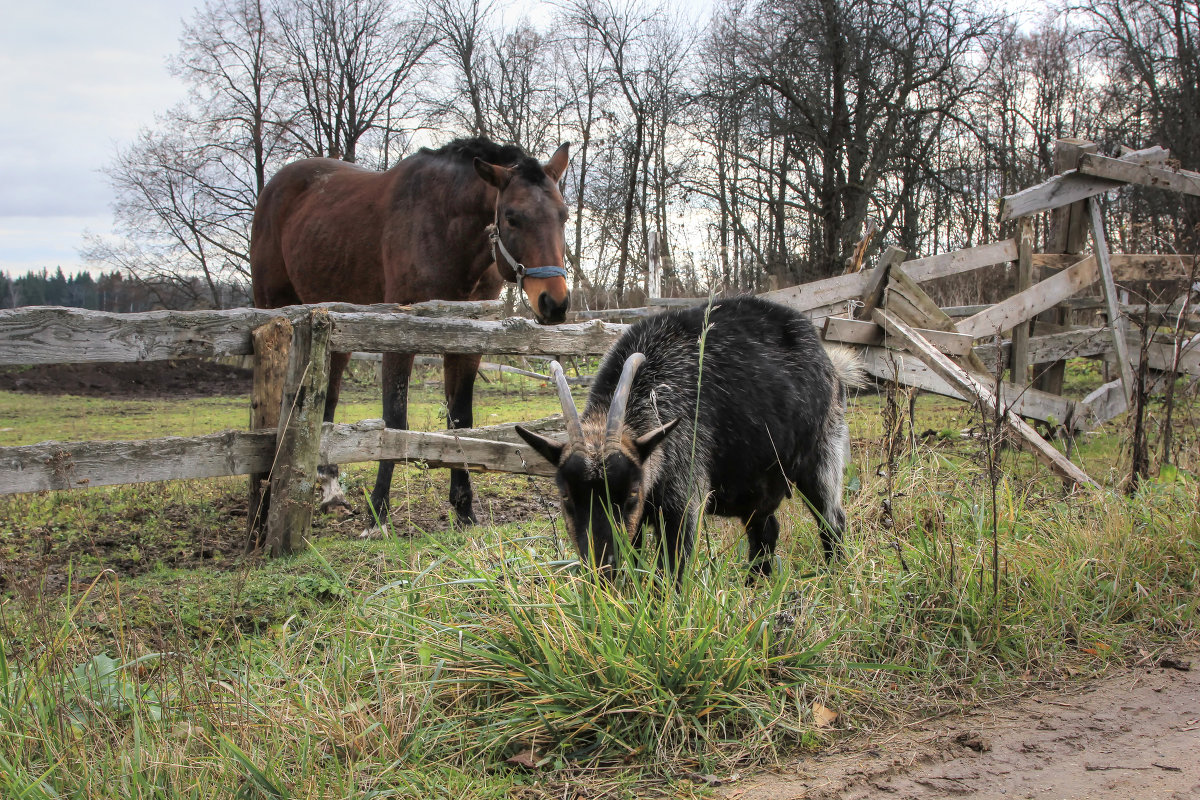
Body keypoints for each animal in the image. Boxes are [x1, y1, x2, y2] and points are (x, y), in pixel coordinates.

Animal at [248, 139, 571, 532]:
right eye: (511, 216)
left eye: (563, 215)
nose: (554, 303)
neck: (445, 228)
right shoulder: (399, 339)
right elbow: (395, 420)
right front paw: (378, 512)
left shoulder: (467, 345)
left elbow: (459, 420)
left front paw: (464, 508)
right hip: (275, 306)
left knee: (329, 398)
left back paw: (330, 487)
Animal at [516, 297, 864, 578]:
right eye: (565, 497)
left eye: (631, 493)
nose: (604, 570)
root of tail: (830, 362)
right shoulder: (639, 521)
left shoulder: (681, 501)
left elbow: (671, 572)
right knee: (765, 531)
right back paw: (756, 587)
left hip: (822, 455)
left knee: (832, 521)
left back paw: (833, 579)